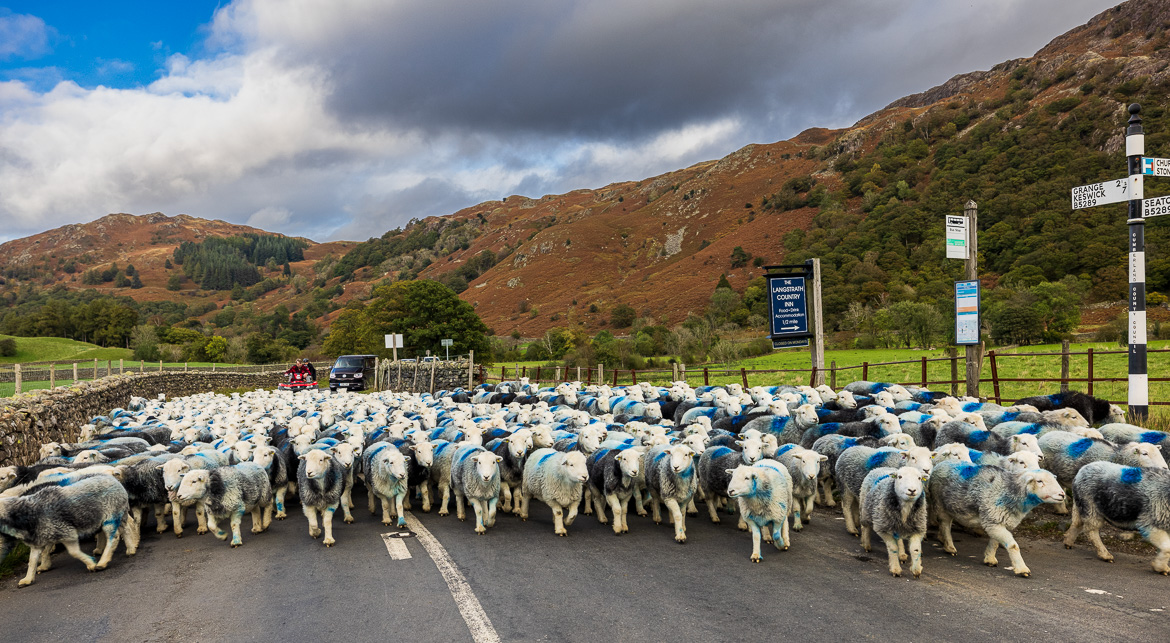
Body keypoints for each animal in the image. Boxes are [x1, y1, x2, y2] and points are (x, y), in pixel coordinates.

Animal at [0, 474, 132, 589]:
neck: (27, 513)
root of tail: (114, 480)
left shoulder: (67, 532)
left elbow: (74, 552)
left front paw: (91, 564)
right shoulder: (39, 540)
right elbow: (32, 561)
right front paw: (27, 579)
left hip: (111, 516)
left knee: (114, 538)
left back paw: (103, 562)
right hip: (120, 513)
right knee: (126, 529)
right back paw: (131, 548)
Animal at [921, 462, 1071, 579]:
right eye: (1039, 481)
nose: (1062, 494)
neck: (1009, 491)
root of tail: (942, 463)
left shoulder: (997, 520)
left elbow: (995, 543)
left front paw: (990, 559)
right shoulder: (992, 520)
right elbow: (1013, 546)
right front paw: (1022, 569)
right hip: (940, 503)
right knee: (945, 524)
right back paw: (949, 547)